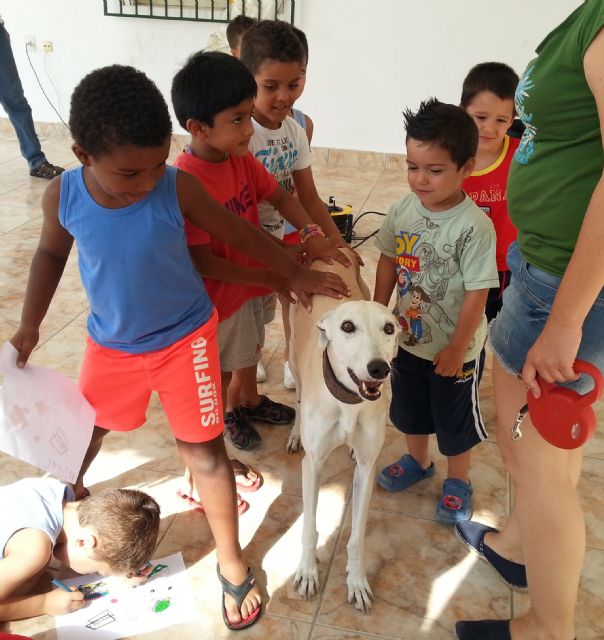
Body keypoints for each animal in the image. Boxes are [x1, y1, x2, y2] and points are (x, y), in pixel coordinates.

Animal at [288, 250, 402, 608]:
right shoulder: (313, 465)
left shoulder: (368, 468)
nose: (380, 369)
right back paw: (294, 432)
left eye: (389, 328)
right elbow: (309, 526)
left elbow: (357, 536)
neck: (349, 400)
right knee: (297, 396)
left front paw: (357, 581)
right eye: (347, 327)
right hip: (293, 354)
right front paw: (307, 572)